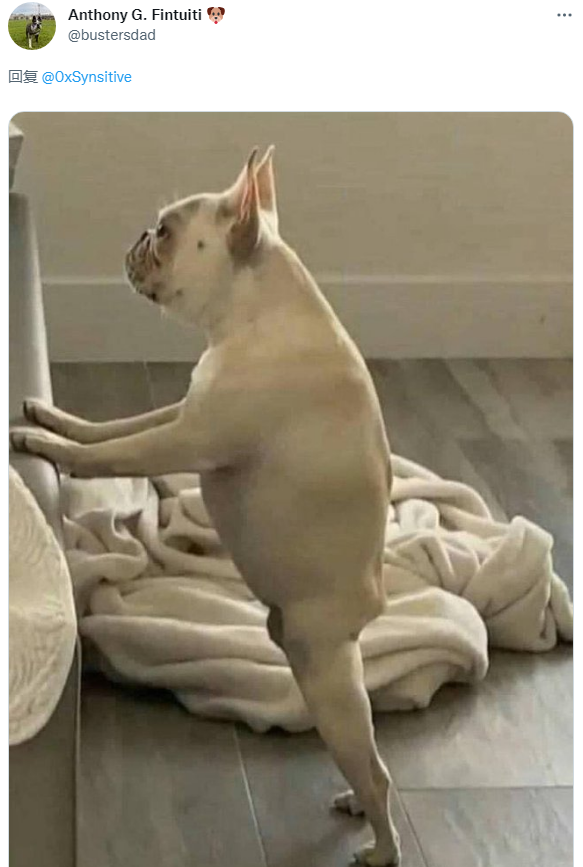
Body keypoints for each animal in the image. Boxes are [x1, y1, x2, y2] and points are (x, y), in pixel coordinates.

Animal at [10, 148, 400, 866]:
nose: (138, 236)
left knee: (375, 770)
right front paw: (57, 419)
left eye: (164, 232)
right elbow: (115, 427)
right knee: (371, 766)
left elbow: (116, 454)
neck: (255, 312)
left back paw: (380, 843)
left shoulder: (190, 437)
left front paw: (44, 445)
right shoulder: (183, 413)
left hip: (323, 674)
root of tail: (370, 608)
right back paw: (358, 805)